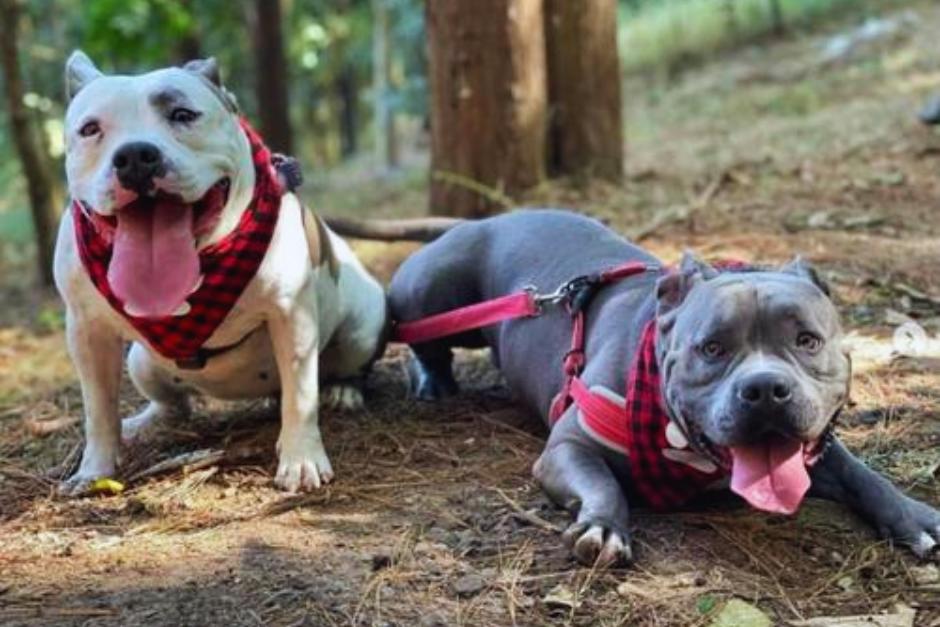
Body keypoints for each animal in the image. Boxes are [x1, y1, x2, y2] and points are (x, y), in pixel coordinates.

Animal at [55, 52, 388, 496]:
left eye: (183, 114)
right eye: (90, 129)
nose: (136, 156)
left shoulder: (292, 315)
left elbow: (300, 397)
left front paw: (301, 458)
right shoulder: (87, 332)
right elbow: (98, 408)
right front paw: (95, 470)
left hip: (363, 325)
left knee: (339, 370)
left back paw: (342, 392)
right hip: (141, 360)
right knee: (174, 405)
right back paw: (144, 422)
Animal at [388, 209, 940, 568]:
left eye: (808, 341)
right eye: (711, 348)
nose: (765, 388)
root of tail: (479, 221)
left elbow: (861, 474)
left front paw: (914, 516)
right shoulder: (568, 447)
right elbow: (601, 482)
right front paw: (604, 526)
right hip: (431, 294)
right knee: (422, 338)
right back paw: (431, 379)